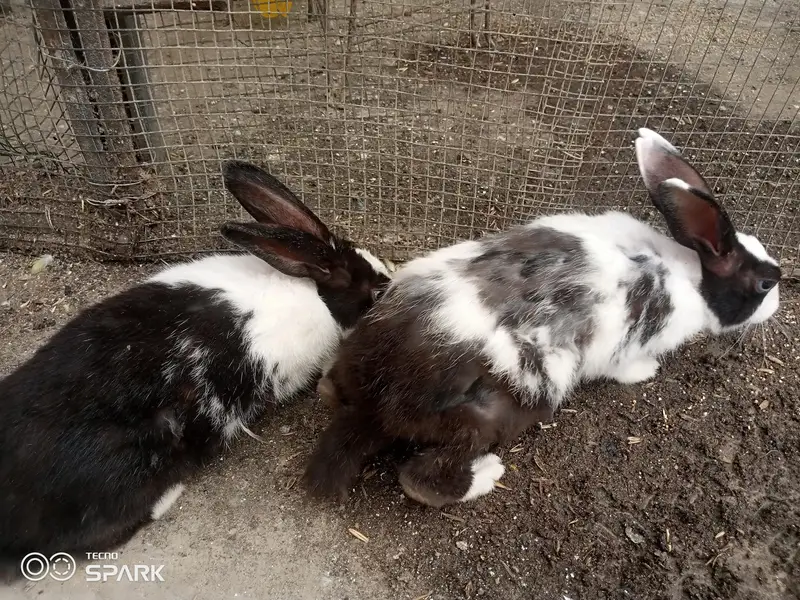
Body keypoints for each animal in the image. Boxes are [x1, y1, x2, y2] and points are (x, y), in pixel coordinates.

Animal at [304, 128, 782, 508]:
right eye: (764, 283)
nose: (778, 298)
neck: (691, 272)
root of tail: (376, 402)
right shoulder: (626, 344)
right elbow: (624, 365)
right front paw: (647, 372)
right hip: (496, 412)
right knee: (421, 481)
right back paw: (487, 474)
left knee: (328, 390)